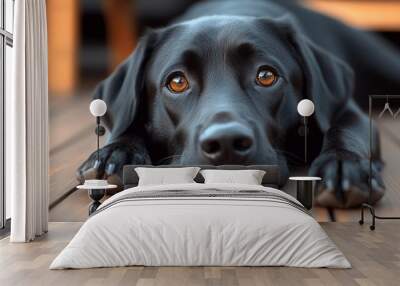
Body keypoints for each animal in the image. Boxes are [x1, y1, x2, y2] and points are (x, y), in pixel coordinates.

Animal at [77, 0, 400, 207]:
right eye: (177, 82)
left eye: (266, 76)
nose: (226, 143)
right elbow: (125, 127)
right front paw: (115, 153)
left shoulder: (348, 111)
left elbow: (346, 131)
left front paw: (343, 166)